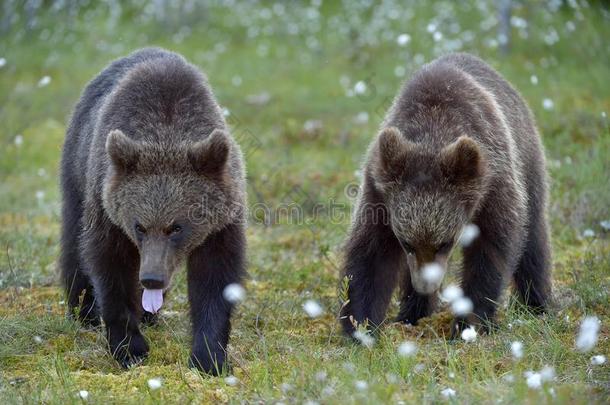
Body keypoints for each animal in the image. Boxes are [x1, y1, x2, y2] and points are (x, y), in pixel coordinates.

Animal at [59, 47, 245, 372]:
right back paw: (84, 311)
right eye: (139, 226)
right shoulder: (108, 210)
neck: (166, 131)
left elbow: (215, 278)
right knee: (73, 240)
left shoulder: (222, 222)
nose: (151, 279)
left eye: (177, 226)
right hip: (77, 168)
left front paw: (209, 358)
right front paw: (130, 349)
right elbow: (111, 267)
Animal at [338, 53, 552, 338]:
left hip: (528, 161)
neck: (434, 131)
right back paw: (411, 313)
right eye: (406, 243)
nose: (425, 286)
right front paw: (360, 325)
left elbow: (491, 250)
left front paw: (468, 324)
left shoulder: (493, 183)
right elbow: (371, 253)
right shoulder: (380, 190)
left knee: (534, 238)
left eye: (445, 243)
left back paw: (537, 304)